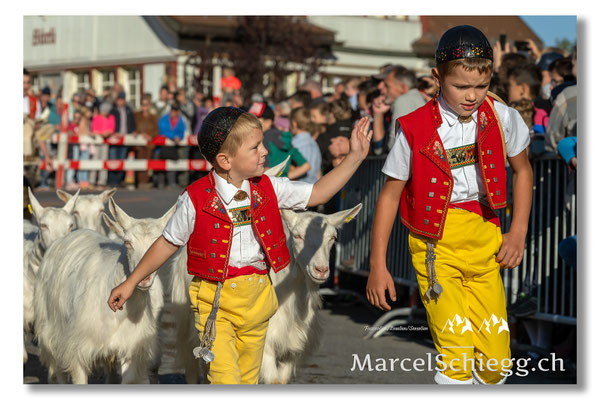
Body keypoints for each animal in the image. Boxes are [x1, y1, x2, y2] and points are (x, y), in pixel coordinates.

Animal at [32, 198, 175, 382]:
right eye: (127, 242)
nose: (144, 279)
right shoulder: (77, 347)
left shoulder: (131, 347)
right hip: (50, 327)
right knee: (57, 369)